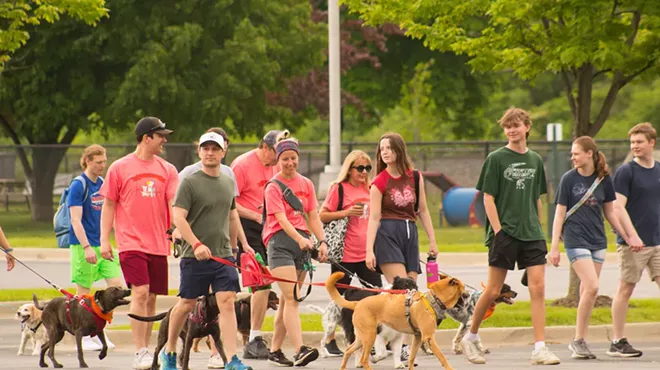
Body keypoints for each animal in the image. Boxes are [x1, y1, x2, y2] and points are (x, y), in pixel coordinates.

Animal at [326, 270, 464, 368]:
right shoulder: (427, 337)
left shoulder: (414, 337)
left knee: (349, 350)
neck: (432, 300)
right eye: (462, 291)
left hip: (362, 336)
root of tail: (357, 303)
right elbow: (442, 357)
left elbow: (409, 357)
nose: (467, 299)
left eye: (415, 286)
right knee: (363, 359)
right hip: (370, 336)